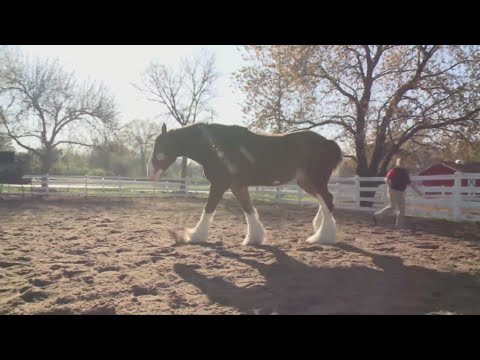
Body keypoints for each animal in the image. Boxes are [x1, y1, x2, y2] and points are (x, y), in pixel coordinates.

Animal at [146, 123, 342, 245]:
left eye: (160, 147)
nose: (150, 173)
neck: (216, 147)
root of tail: (328, 142)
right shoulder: (237, 186)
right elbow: (248, 209)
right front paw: (255, 238)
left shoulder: (219, 185)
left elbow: (208, 209)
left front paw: (195, 236)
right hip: (305, 182)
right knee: (326, 200)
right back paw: (319, 229)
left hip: (314, 180)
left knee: (327, 200)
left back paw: (322, 237)